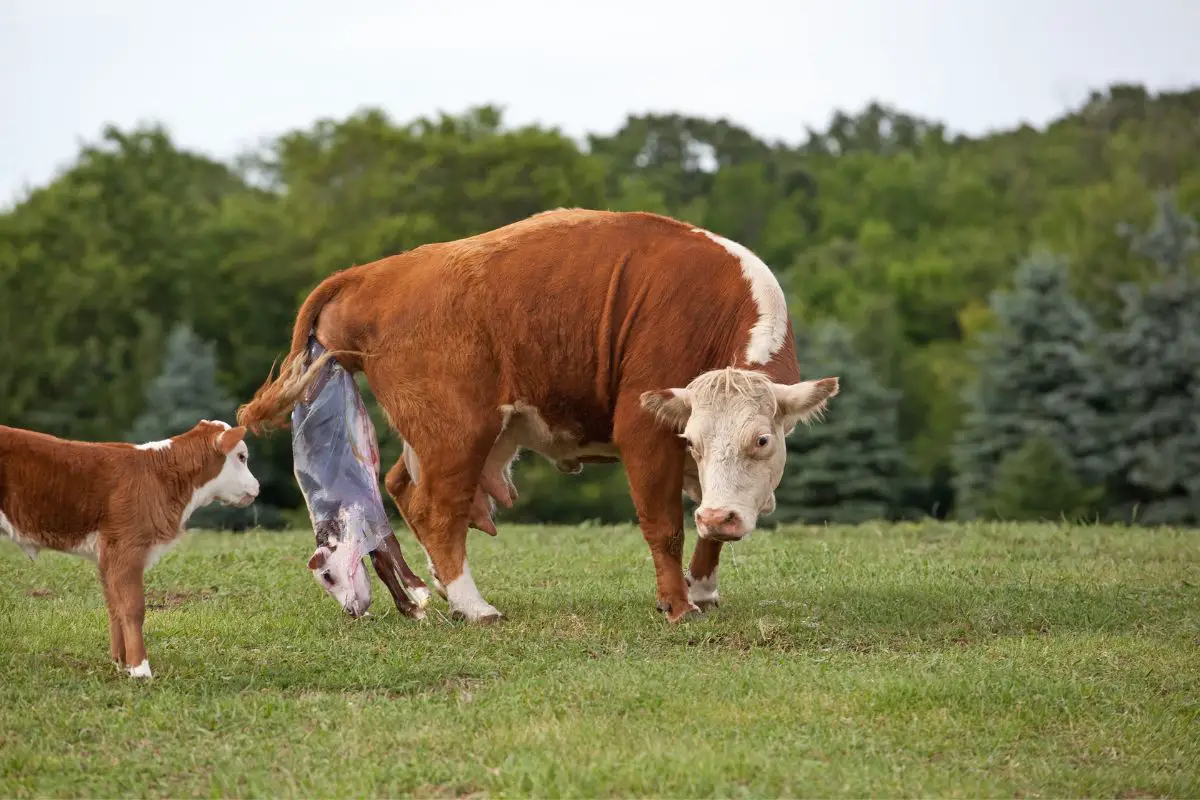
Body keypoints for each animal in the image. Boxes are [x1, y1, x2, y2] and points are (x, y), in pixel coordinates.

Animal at [0, 422, 261, 681]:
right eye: (242, 456)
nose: (257, 487)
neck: (162, 477)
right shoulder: (126, 549)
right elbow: (133, 607)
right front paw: (140, 669)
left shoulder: (108, 556)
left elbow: (115, 606)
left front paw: (120, 663)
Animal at [238, 209, 840, 623]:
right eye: (690, 440)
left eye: (762, 440)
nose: (723, 517)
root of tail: (373, 274)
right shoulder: (644, 430)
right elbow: (665, 525)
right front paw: (678, 605)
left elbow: (707, 526)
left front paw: (705, 588)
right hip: (457, 430)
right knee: (436, 507)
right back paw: (473, 606)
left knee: (402, 486)